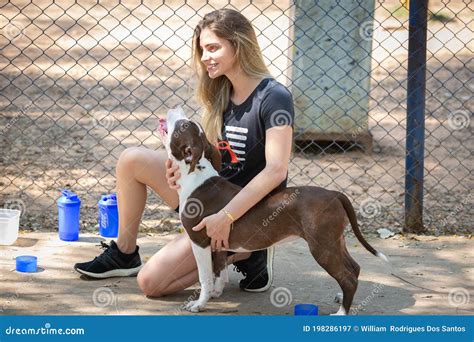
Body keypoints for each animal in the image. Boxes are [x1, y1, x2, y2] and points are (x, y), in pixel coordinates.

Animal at [161, 106, 386, 312]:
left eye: (182, 125)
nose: (175, 107)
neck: (196, 176)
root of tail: (334, 193)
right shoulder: (219, 242)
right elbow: (219, 270)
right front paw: (216, 292)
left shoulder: (199, 242)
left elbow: (204, 277)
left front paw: (199, 303)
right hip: (335, 240)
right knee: (353, 268)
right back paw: (342, 298)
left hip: (322, 245)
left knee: (348, 277)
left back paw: (341, 312)